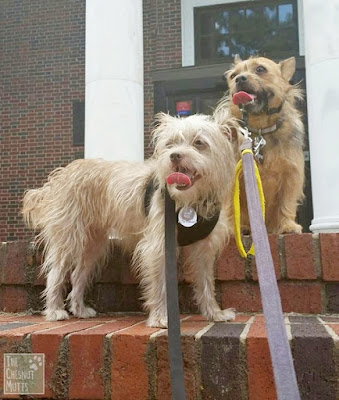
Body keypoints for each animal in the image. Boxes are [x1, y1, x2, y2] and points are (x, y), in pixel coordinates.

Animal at [22, 113, 238, 328]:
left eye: (199, 143)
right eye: (170, 144)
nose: (174, 155)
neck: (190, 202)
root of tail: (60, 177)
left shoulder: (204, 251)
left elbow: (206, 283)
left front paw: (214, 313)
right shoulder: (158, 247)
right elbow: (160, 284)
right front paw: (160, 317)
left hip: (93, 246)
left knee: (77, 275)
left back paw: (79, 309)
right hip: (69, 240)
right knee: (55, 273)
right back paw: (54, 310)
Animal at [216, 54, 306, 233]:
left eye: (260, 69)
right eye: (233, 75)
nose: (239, 79)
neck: (260, 129)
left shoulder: (292, 175)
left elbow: (287, 202)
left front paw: (288, 225)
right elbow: (230, 206)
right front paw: (229, 228)